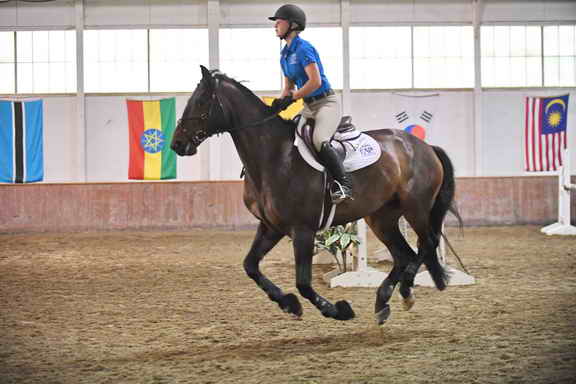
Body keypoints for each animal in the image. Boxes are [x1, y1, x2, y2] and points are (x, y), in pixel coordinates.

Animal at [170, 66, 460, 324]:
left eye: (201, 101)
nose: (177, 144)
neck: (274, 156)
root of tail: (424, 146)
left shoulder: (302, 230)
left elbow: (303, 283)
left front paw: (338, 310)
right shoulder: (271, 227)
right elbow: (250, 266)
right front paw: (289, 303)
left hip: (416, 209)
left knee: (427, 243)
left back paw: (406, 290)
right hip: (382, 217)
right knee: (404, 255)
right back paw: (385, 301)